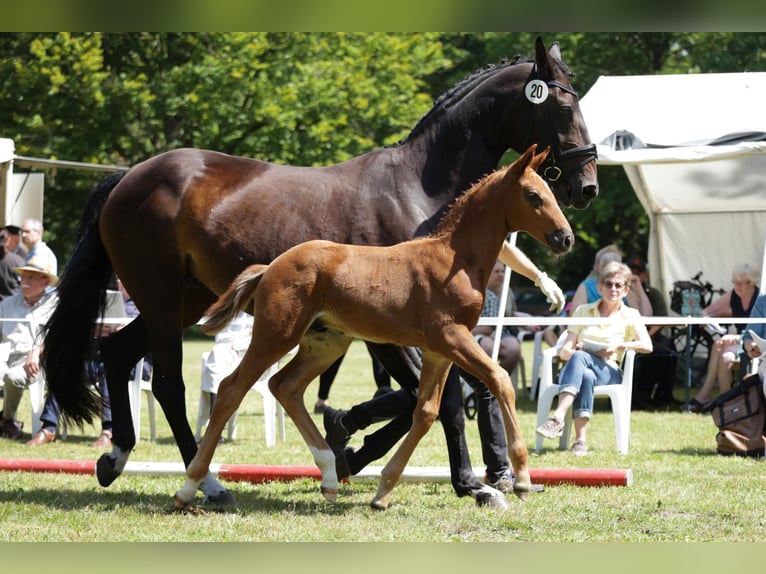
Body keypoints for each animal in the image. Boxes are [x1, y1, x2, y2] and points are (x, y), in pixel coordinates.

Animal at [180, 145, 572, 512]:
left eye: (550, 193)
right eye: (533, 196)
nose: (565, 238)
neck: (454, 258)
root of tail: (271, 267)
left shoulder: (439, 351)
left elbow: (426, 412)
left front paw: (383, 491)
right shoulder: (450, 336)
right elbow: (499, 379)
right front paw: (522, 478)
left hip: (325, 344)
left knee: (284, 386)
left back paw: (329, 476)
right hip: (276, 333)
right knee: (232, 388)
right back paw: (188, 488)